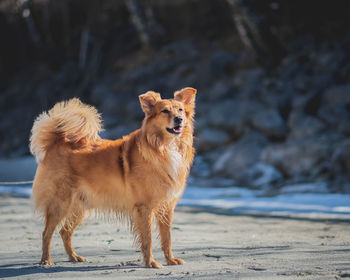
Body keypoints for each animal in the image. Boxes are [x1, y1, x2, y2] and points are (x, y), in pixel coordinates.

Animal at [30, 87, 197, 266]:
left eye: (180, 110)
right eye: (165, 111)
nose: (179, 119)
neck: (164, 147)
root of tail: (58, 140)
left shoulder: (167, 208)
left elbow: (167, 238)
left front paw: (170, 260)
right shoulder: (144, 208)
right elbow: (148, 239)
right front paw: (150, 263)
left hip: (80, 207)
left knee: (64, 231)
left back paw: (73, 256)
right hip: (60, 204)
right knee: (46, 232)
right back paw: (46, 260)